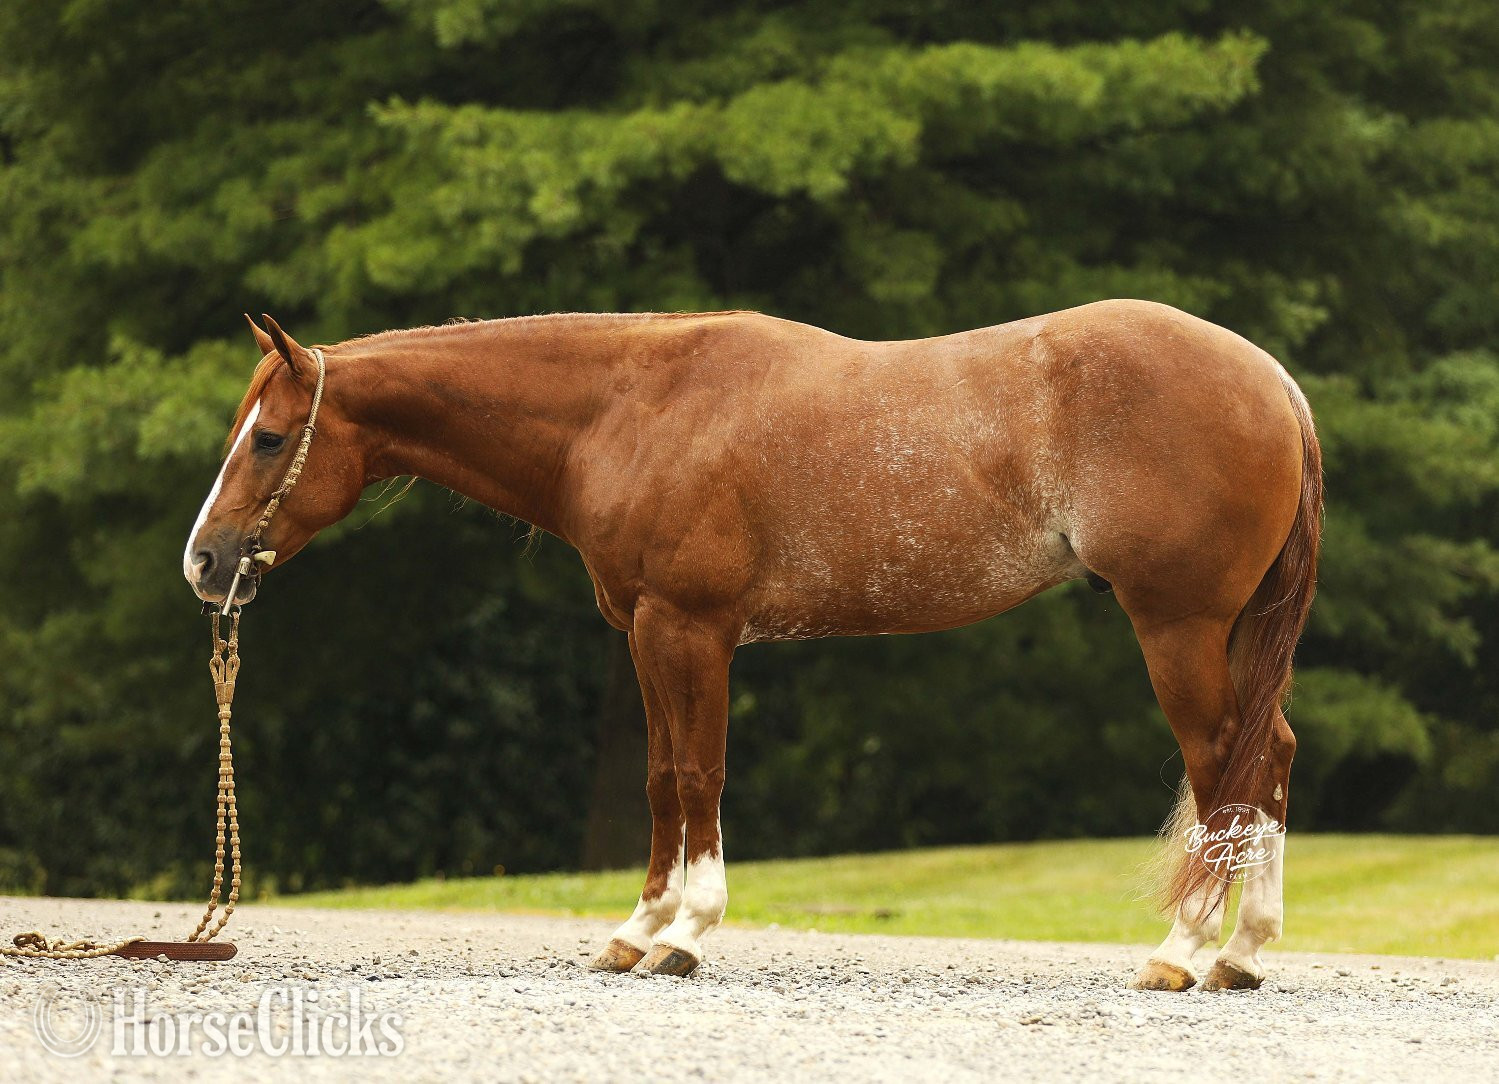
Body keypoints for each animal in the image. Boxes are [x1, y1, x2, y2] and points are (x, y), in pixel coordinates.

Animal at [184, 300, 1321, 991]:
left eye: (271, 437)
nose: (204, 563)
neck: (631, 408)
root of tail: (1273, 381)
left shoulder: (690, 629)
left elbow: (698, 774)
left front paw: (686, 934)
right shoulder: (643, 632)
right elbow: (658, 779)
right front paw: (634, 932)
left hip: (1175, 625)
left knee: (1222, 767)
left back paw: (1182, 951)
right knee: (1268, 758)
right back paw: (1242, 953)